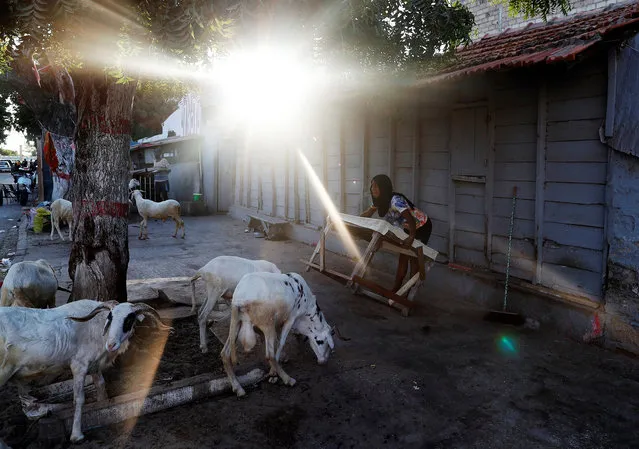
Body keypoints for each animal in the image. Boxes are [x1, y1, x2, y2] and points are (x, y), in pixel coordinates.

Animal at [0, 298, 169, 440]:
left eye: (129, 319)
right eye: (110, 317)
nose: (111, 345)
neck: (95, 328)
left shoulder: (94, 365)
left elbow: (101, 386)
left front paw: (103, 410)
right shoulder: (79, 365)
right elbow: (79, 399)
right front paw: (76, 435)